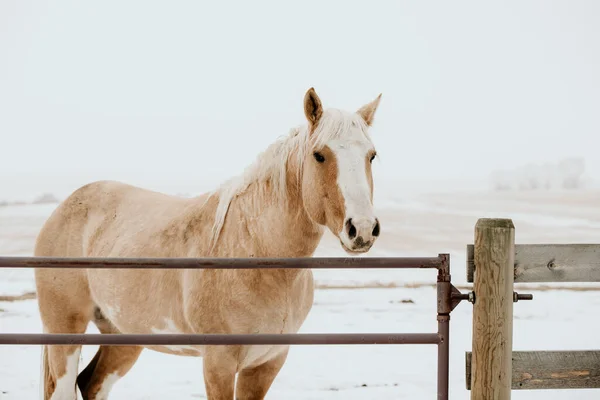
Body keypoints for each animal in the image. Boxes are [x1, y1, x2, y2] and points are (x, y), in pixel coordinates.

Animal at [35, 88, 384, 400]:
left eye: (372, 155)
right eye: (319, 155)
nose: (362, 229)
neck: (255, 251)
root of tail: (66, 206)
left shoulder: (267, 363)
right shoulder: (218, 363)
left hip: (124, 336)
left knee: (92, 384)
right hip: (65, 331)